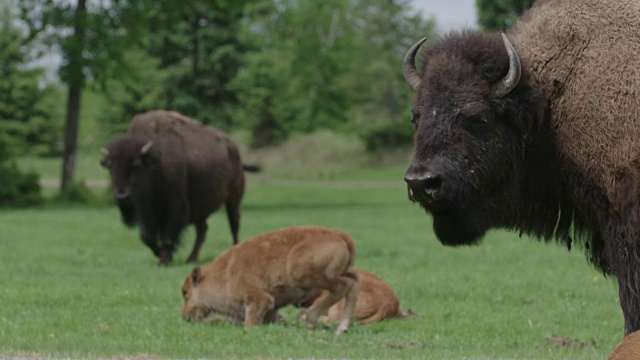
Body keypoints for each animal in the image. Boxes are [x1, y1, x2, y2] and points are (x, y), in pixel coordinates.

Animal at [101, 109, 258, 264]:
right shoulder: (147, 211)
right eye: (110, 167)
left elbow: (167, 236)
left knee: (234, 223)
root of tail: (233, 148)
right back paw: (191, 258)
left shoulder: (174, 206)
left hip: (233, 199)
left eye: (136, 165)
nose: (122, 197)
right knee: (202, 229)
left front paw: (164, 260)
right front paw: (160, 254)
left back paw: (235, 249)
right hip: (200, 208)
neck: (154, 162)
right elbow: (146, 237)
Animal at [180, 225, 360, 334]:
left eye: (185, 293)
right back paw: (341, 329)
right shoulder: (270, 310)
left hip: (302, 274)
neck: (224, 274)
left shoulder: (259, 300)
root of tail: (339, 234)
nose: (185, 316)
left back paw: (311, 319)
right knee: (354, 281)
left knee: (342, 286)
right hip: (340, 272)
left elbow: (250, 323)